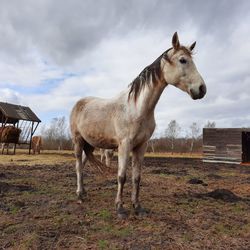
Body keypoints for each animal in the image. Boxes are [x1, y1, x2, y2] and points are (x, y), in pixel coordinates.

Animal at [69, 32, 206, 218]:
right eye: (183, 60)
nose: (202, 89)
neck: (137, 108)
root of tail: (79, 103)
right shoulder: (124, 145)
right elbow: (122, 176)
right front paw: (120, 208)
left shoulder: (141, 146)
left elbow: (137, 177)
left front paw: (137, 206)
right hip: (78, 141)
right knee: (77, 166)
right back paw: (79, 195)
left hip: (89, 144)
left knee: (83, 164)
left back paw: (83, 192)